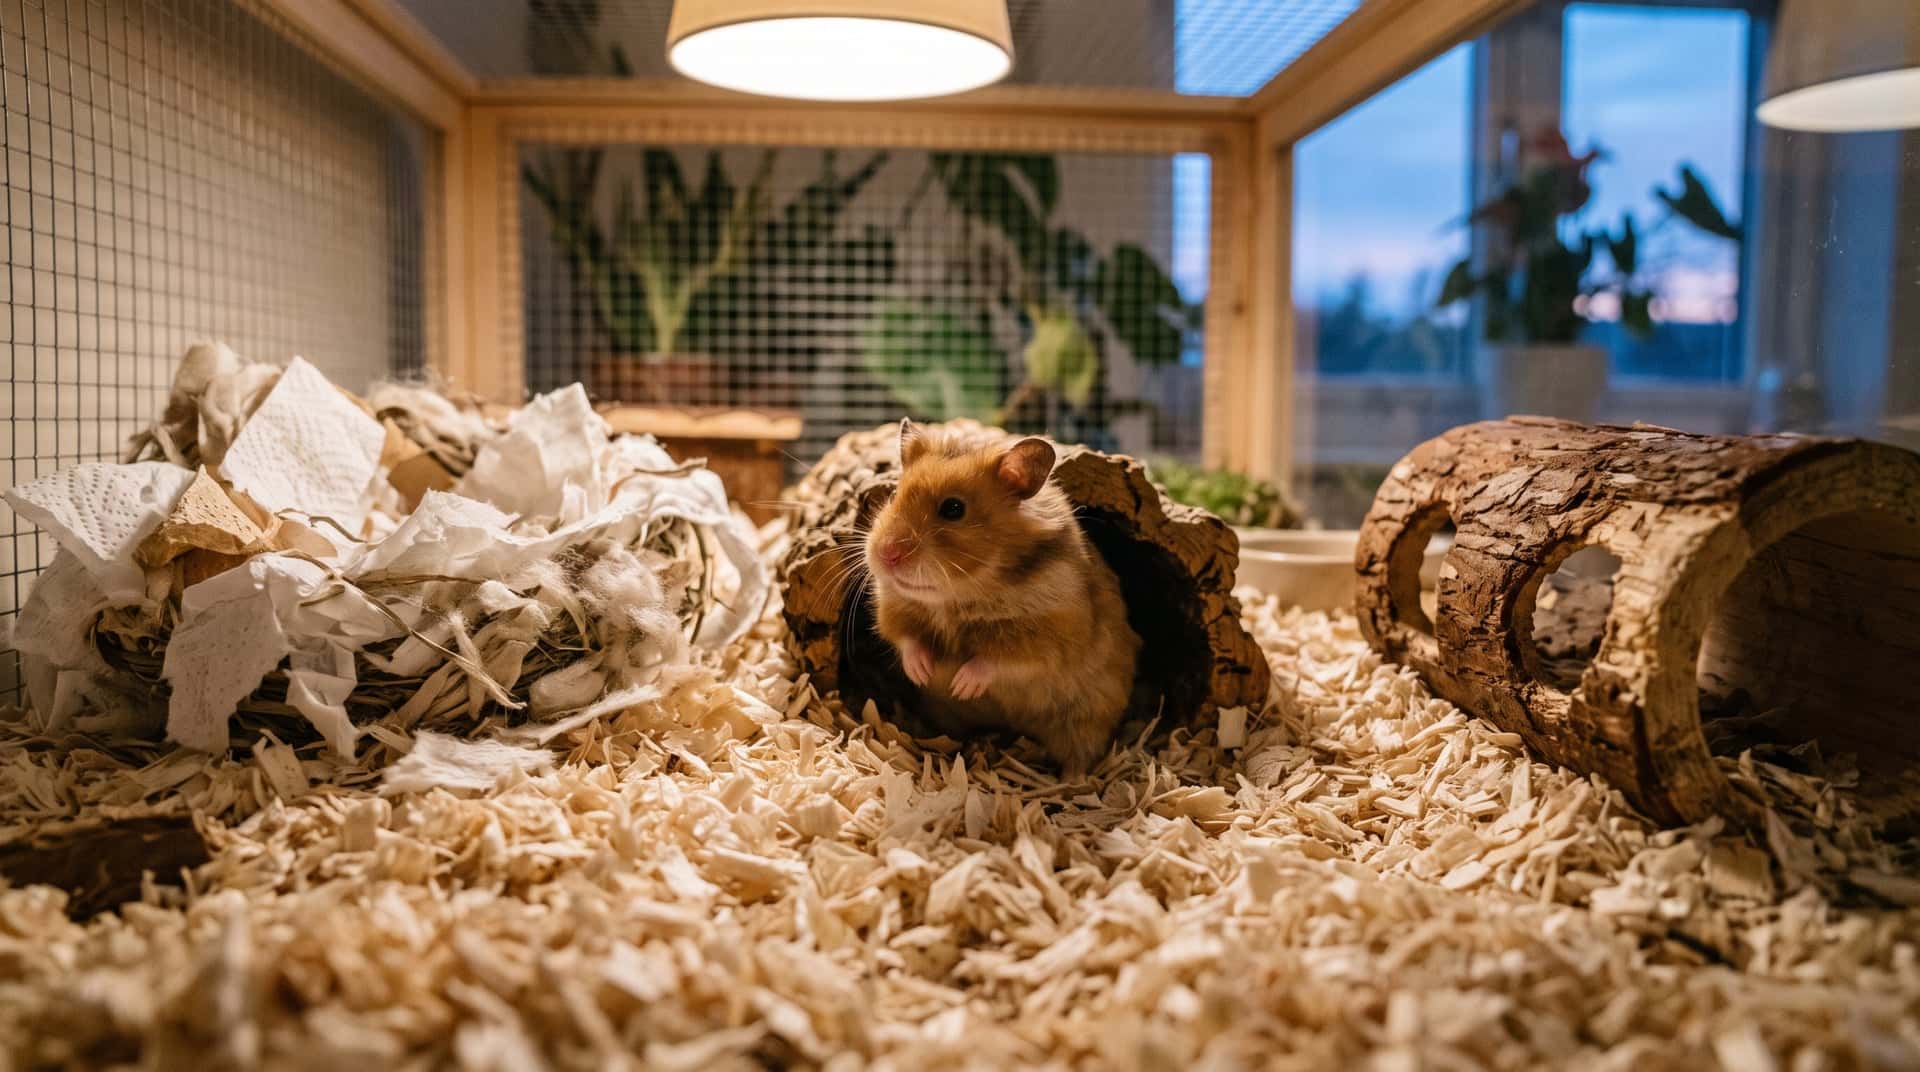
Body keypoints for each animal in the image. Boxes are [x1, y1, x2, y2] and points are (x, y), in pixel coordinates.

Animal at [863, 419, 1141, 777]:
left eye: (953, 508)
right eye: (894, 495)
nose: (886, 555)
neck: (955, 597)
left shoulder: (1049, 637)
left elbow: (998, 660)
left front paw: (960, 684)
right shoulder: (894, 608)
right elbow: (906, 638)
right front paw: (923, 672)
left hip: (1086, 720)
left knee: (1079, 754)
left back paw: (1073, 781)